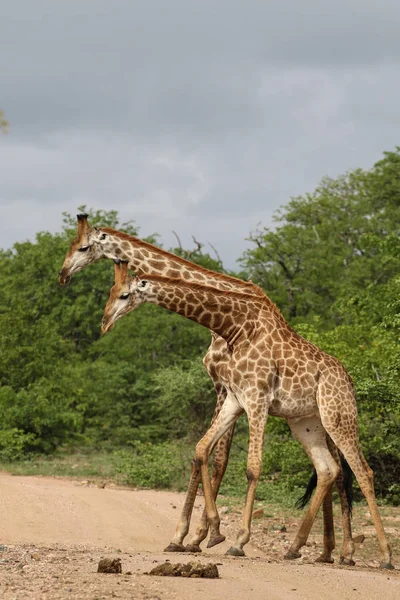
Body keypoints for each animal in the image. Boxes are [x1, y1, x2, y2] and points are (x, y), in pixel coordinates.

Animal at [58, 214, 354, 564]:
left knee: (341, 469)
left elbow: (217, 459)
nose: (62, 274)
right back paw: (327, 549)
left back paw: (342, 550)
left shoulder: (226, 387)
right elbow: (204, 454)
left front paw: (198, 534)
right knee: (334, 469)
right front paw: (187, 536)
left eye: (83, 246)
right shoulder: (226, 389)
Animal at [101, 262, 392, 568]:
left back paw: (384, 556)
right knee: (328, 469)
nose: (105, 321)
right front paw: (212, 532)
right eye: (110, 291)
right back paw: (295, 547)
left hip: (338, 416)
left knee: (363, 472)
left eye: (124, 294)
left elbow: (253, 467)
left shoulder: (256, 398)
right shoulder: (234, 399)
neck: (236, 329)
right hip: (306, 423)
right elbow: (202, 449)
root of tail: (350, 381)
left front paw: (237, 541)